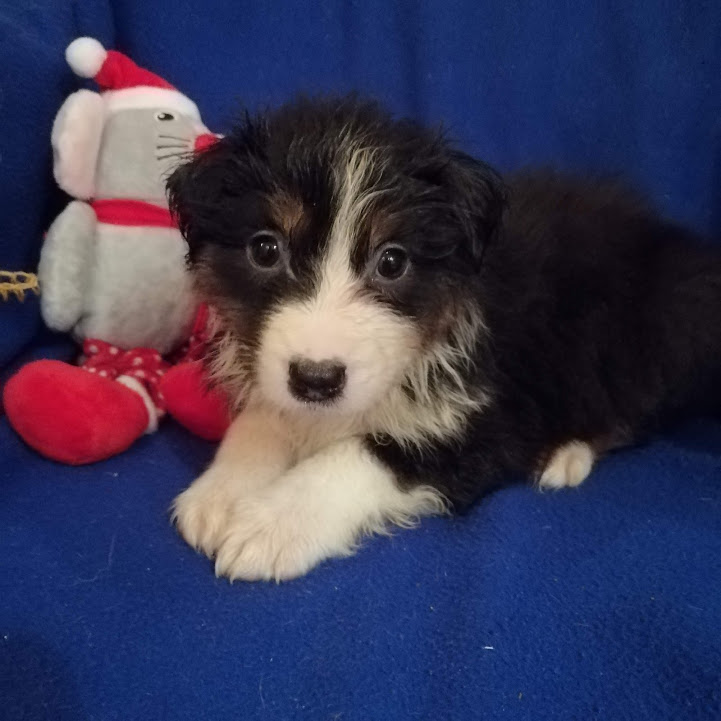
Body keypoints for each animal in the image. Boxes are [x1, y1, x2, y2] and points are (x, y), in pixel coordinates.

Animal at [167, 95, 721, 581]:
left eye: (392, 261)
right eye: (265, 249)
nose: (316, 380)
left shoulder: (493, 421)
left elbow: (360, 455)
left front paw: (272, 523)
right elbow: (263, 419)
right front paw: (222, 493)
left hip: (642, 331)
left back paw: (567, 453)